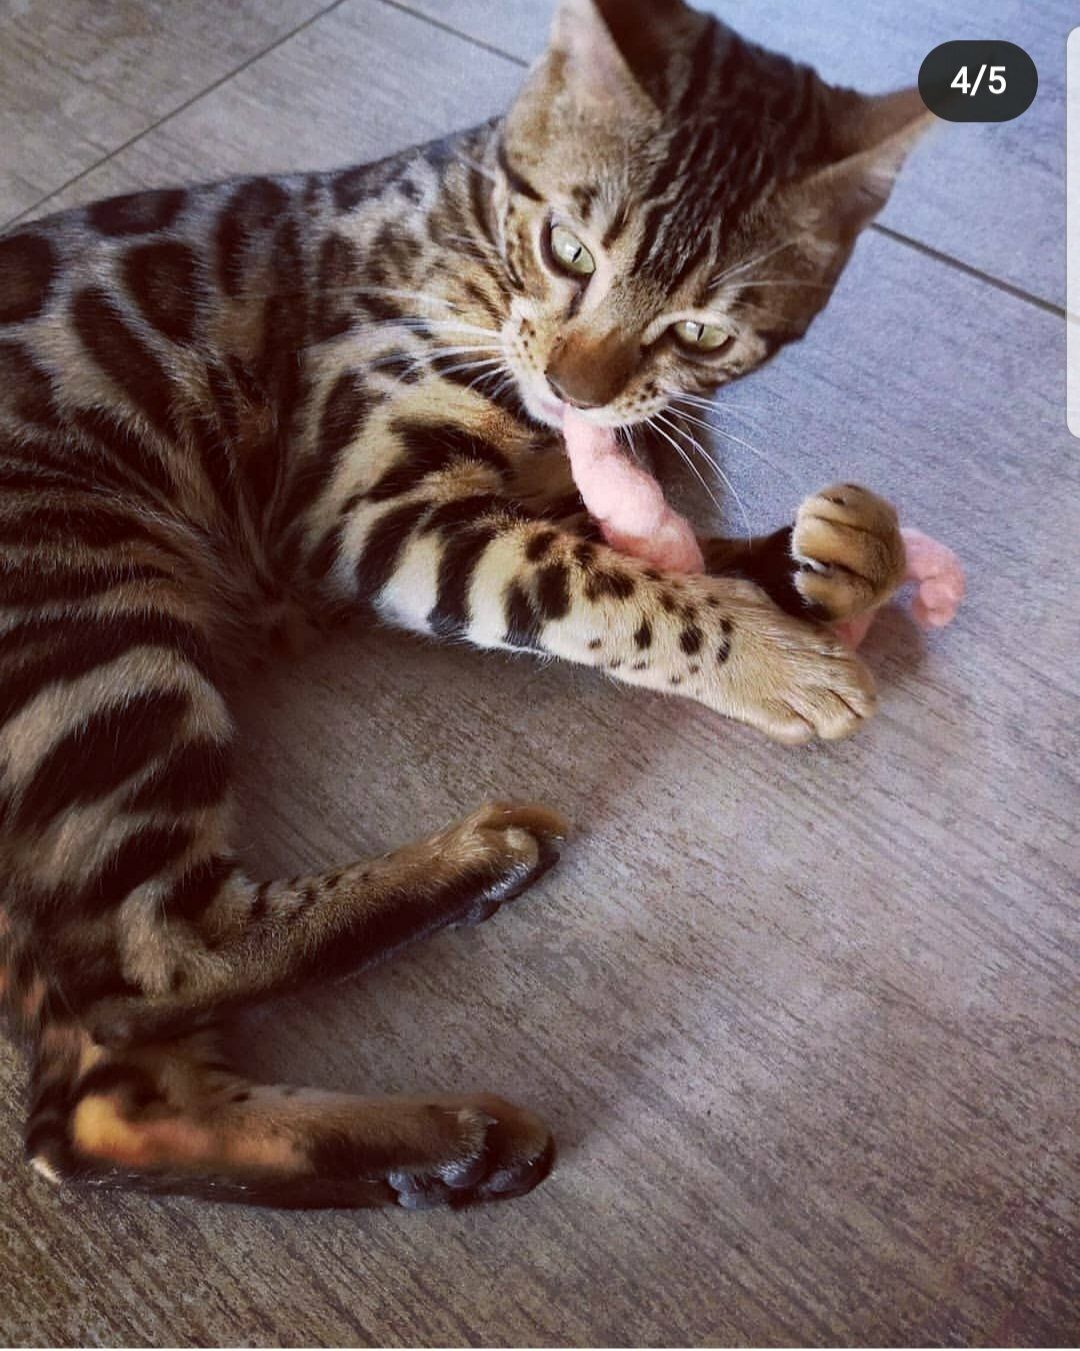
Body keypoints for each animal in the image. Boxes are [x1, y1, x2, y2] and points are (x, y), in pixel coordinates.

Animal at [0, 0, 927, 1208]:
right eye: (569, 248)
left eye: (703, 331)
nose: (576, 387)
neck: (465, 226)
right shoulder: (371, 506)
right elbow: (609, 585)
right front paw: (776, 660)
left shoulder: (509, 489)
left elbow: (665, 547)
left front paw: (833, 557)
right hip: (100, 628)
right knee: (149, 967)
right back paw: (475, 869)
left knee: (90, 1106)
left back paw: (443, 1146)